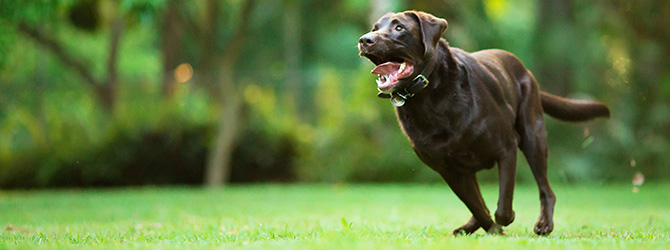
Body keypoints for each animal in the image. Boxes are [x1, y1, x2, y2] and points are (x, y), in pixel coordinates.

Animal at [360, 10, 612, 235]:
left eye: (399, 28)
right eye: (374, 28)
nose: (365, 40)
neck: (431, 99)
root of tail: (526, 71)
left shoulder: (507, 148)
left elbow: (503, 206)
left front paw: (504, 222)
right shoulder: (448, 170)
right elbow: (478, 208)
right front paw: (492, 230)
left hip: (533, 137)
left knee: (546, 190)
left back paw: (544, 225)